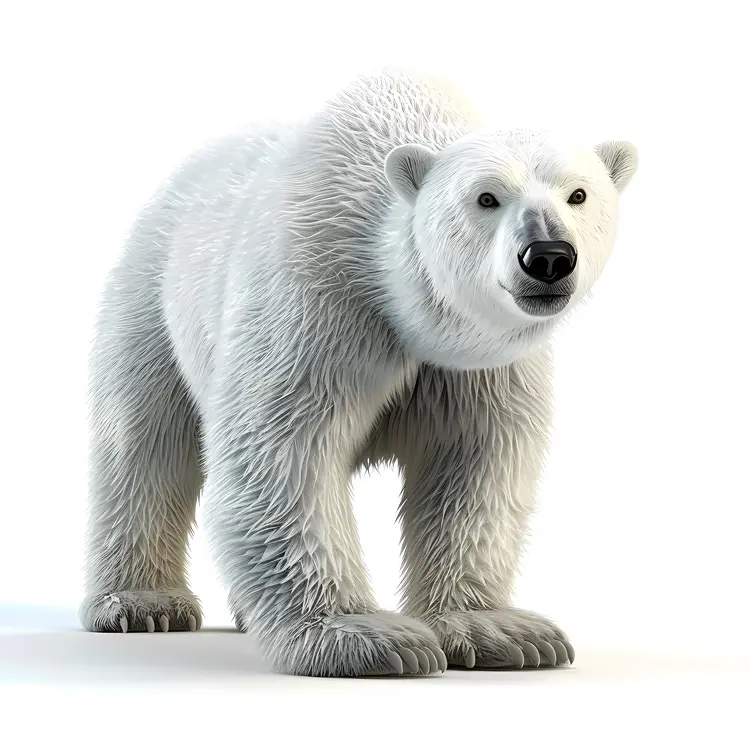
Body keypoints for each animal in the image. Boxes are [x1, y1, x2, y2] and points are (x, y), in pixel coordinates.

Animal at [79, 70, 638, 677]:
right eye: (486, 197)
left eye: (578, 194)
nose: (548, 256)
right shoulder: (316, 304)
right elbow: (283, 453)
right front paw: (365, 638)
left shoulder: (478, 367)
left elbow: (476, 464)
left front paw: (497, 630)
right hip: (153, 293)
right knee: (145, 442)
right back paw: (142, 604)